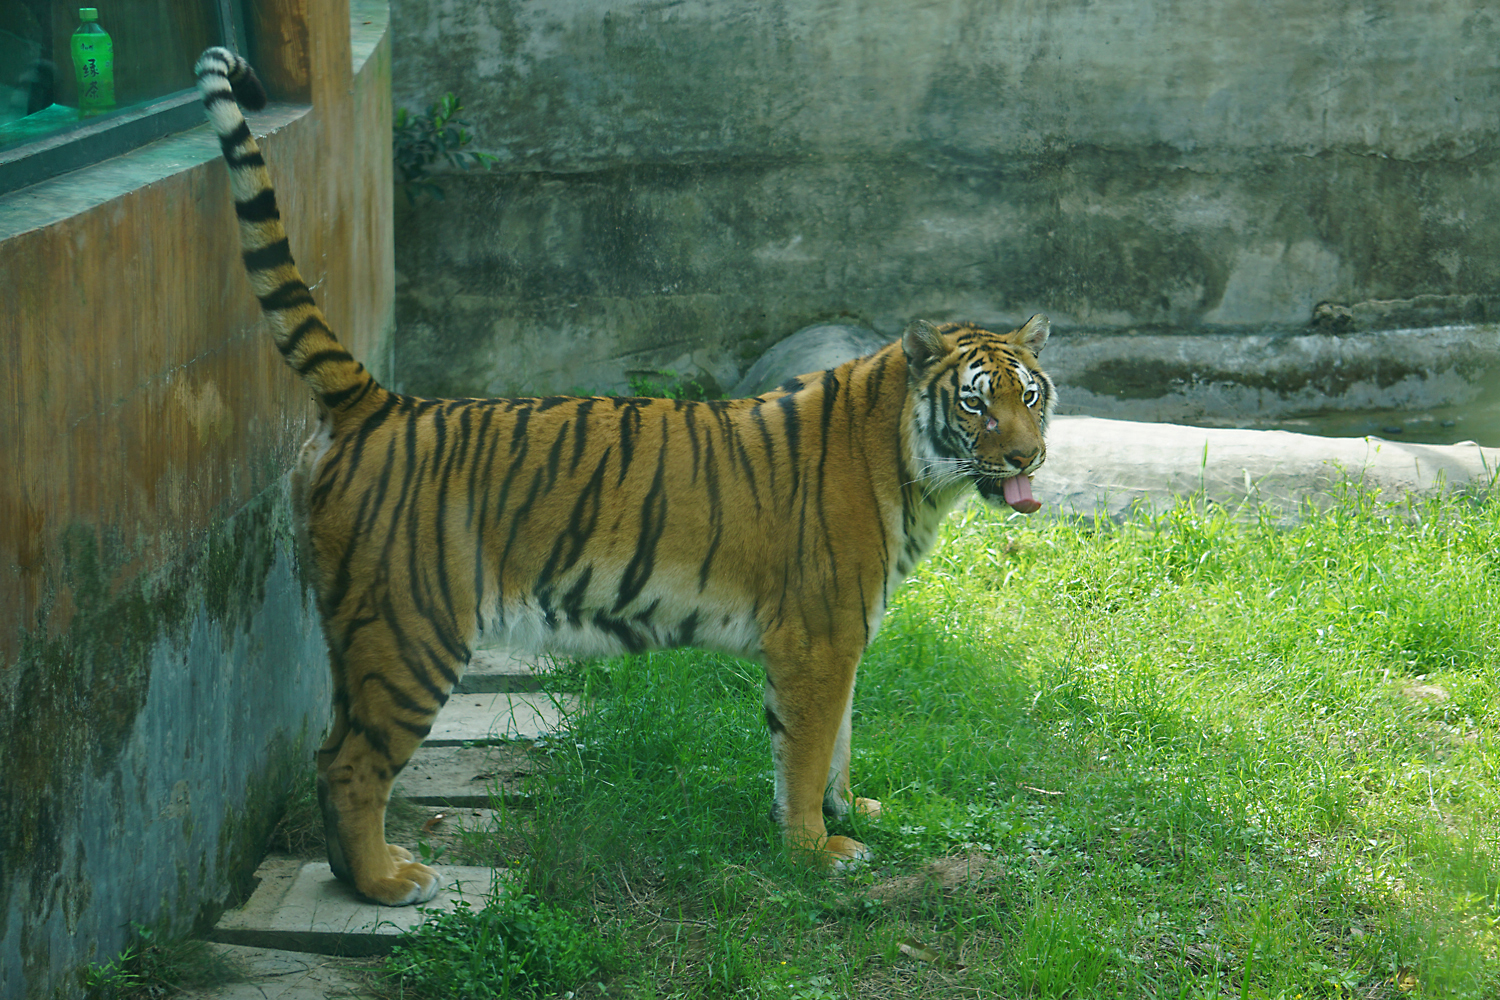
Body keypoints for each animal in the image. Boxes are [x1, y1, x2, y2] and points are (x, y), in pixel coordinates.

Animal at [194, 46, 1056, 906]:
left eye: (1030, 397)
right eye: (977, 403)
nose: (1027, 458)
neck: (917, 474)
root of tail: (376, 402)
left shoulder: (840, 638)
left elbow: (836, 742)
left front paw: (856, 811)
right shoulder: (818, 635)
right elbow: (808, 751)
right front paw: (817, 852)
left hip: (361, 635)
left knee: (326, 753)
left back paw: (354, 874)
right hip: (412, 630)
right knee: (350, 764)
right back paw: (386, 881)